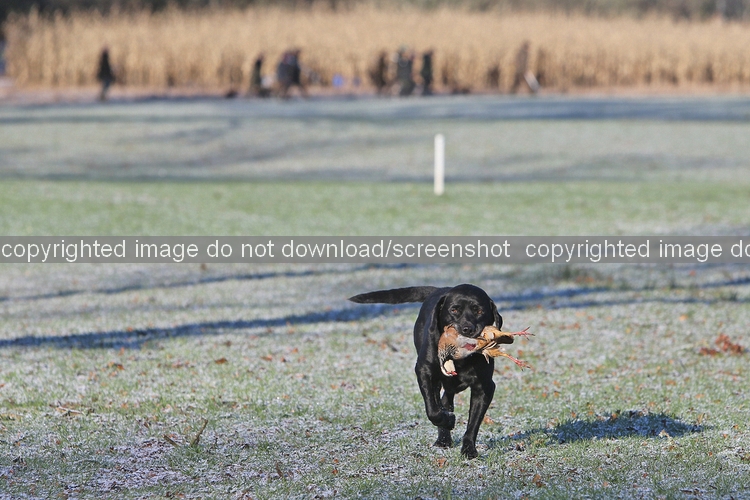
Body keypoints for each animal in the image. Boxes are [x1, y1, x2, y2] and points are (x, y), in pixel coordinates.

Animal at [349, 284, 503, 458]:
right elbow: (433, 410)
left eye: (479, 311)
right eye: (454, 310)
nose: (467, 329)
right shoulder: (424, 372)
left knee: (446, 400)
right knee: (441, 402)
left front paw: (469, 449)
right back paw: (443, 438)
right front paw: (448, 421)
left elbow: (474, 422)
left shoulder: (484, 387)